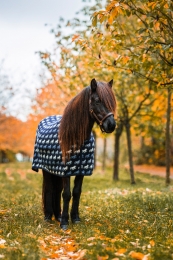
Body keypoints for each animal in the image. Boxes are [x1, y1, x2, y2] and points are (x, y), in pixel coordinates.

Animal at [31, 78, 117, 230]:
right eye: (97, 100)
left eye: (112, 101)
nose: (111, 125)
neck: (76, 137)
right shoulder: (66, 171)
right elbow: (66, 194)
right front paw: (65, 222)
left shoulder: (81, 170)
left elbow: (77, 192)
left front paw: (75, 218)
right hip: (46, 169)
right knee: (49, 189)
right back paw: (48, 217)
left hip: (56, 171)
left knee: (56, 190)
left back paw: (57, 215)